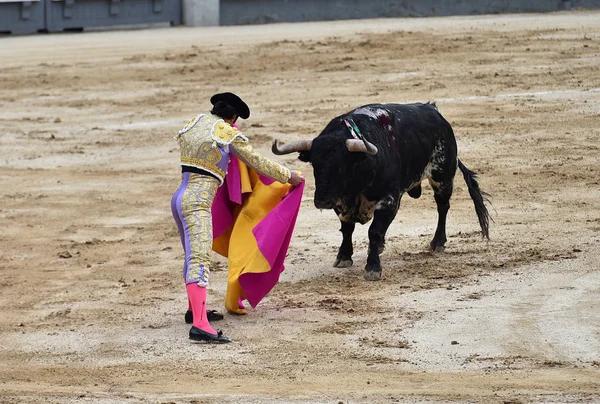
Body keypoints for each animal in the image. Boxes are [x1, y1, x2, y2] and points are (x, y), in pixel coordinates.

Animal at [272, 102, 488, 280]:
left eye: (341, 165)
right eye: (315, 165)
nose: (322, 201)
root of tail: (435, 110)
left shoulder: (389, 200)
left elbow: (374, 231)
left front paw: (373, 268)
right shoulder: (341, 203)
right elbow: (347, 230)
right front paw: (344, 257)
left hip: (442, 178)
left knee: (443, 207)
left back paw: (438, 243)